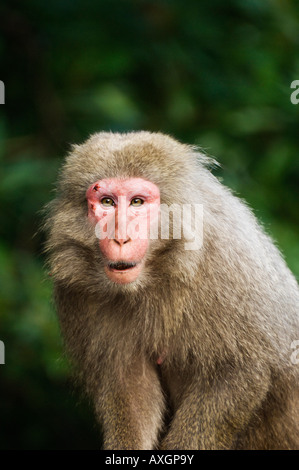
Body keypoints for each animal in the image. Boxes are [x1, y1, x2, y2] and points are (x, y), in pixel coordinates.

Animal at [45, 130, 299, 450]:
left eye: (137, 202)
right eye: (106, 201)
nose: (120, 238)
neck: (158, 270)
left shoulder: (227, 264)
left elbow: (238, 369)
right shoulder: (76, 291)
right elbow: (127, 383)